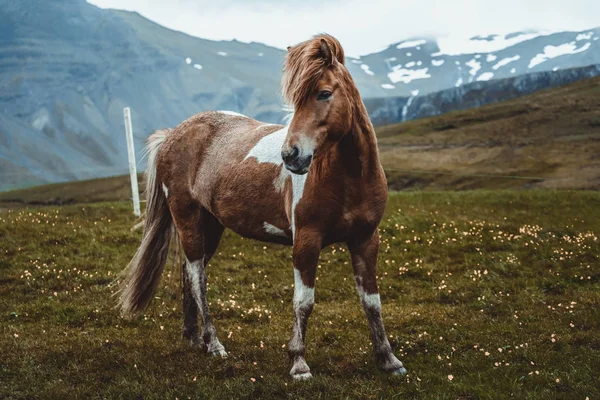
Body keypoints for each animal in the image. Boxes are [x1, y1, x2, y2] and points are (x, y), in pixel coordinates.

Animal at [116, 33, 408, 378]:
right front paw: (299, 364)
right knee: (198, 278)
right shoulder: (306, 241)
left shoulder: (366, 240)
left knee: (188, 273)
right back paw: (214, 344)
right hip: (188, 218)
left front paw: (389, 360)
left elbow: (372, 301)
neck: (348, 179)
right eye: (295, 100)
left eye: (324, 93)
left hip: (210, 225)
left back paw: (194, 338)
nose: (291, 155)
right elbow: (303, 302)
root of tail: (173, 134)